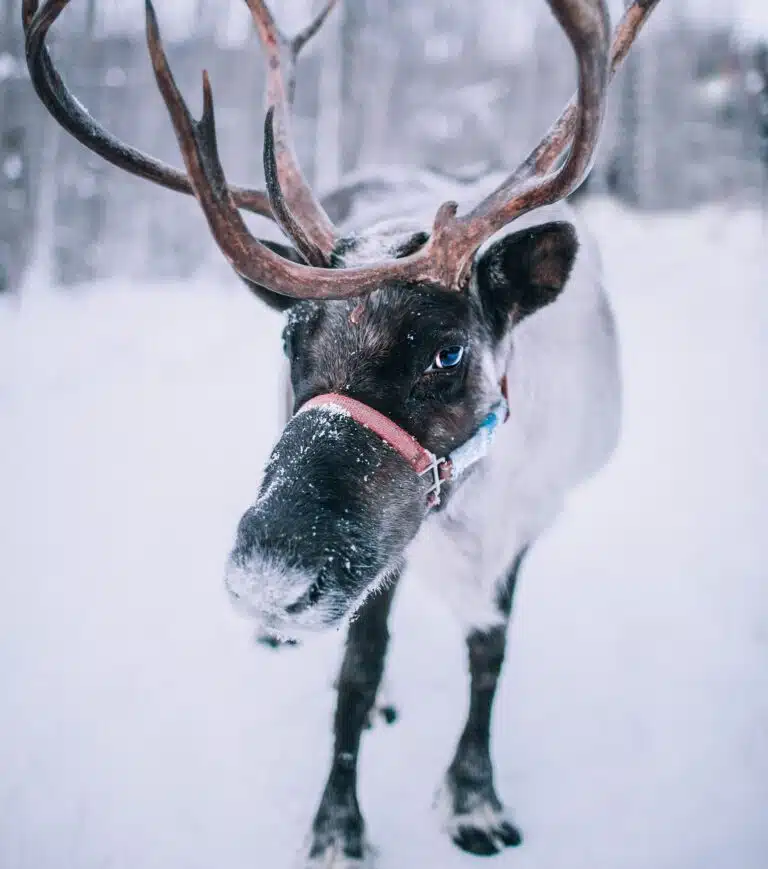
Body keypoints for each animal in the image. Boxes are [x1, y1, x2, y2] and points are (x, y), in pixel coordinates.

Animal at [24, 0, 662, 864]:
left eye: (447, 350)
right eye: (290, 336)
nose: (266, 580)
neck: (467, 515)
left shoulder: (524, 526)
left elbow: (489, 653)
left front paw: (474, 799)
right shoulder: (383, 551)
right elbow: (360, 669)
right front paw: (336, 825)